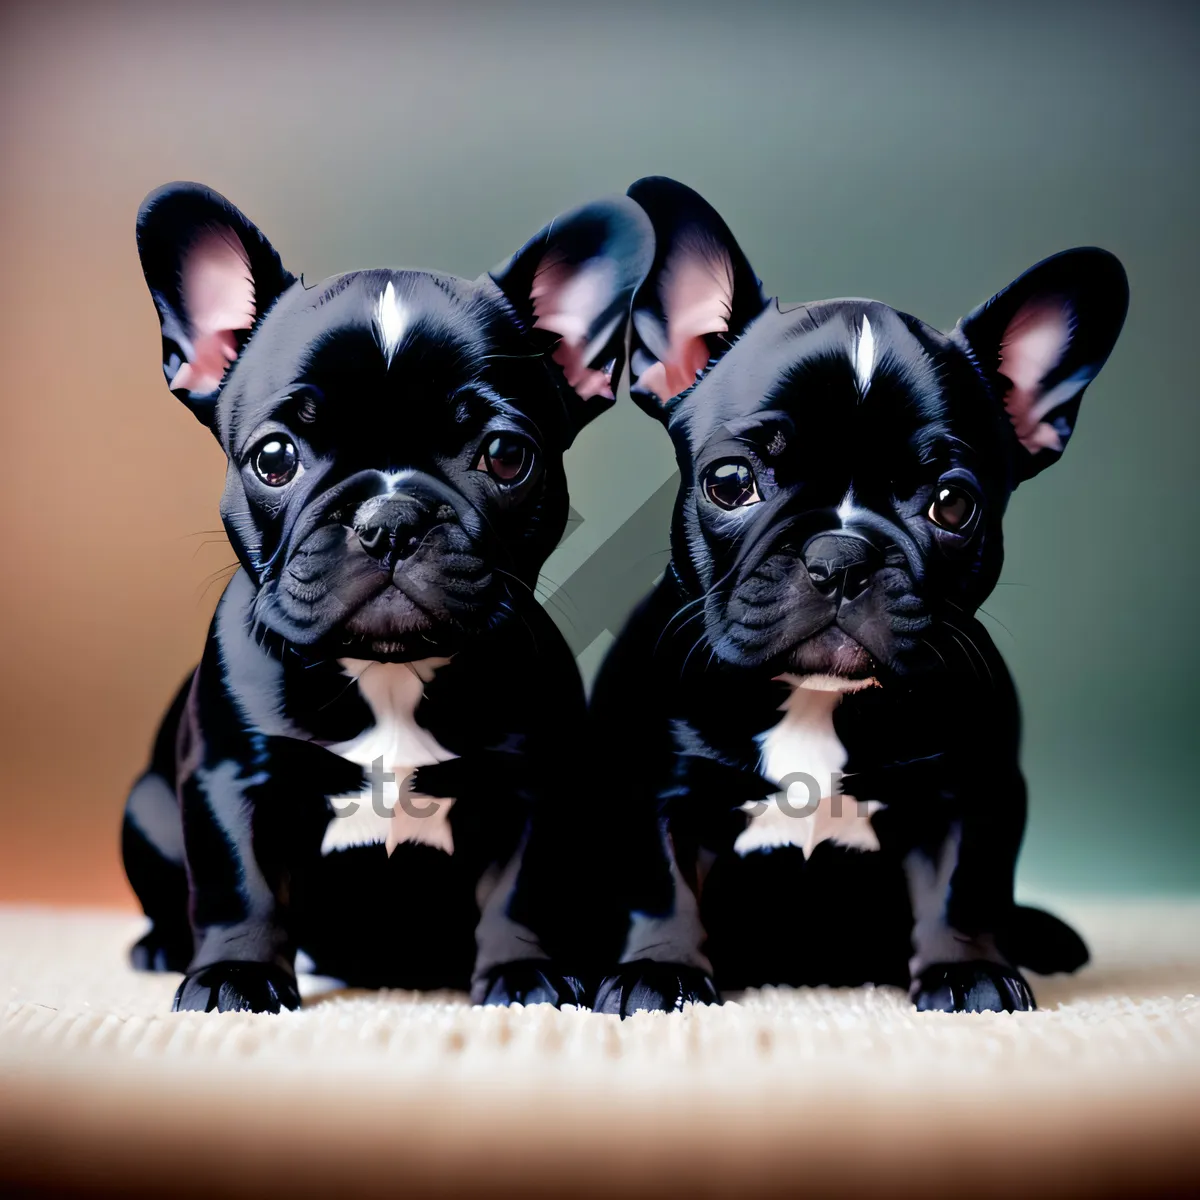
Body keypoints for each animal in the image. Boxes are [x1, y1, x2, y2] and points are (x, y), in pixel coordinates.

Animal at [119, 182, 657, 1008]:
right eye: (274, 458)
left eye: (507, 456)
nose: (390, 519)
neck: (390, 671)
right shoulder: (229, 777)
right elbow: (240, 884)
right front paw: (235, 974)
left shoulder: (532, 786)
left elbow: (520, 890)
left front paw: (523, 972)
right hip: (144, 811)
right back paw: (159, 948)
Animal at [585, 175, 1128, 1012]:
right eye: (731, 482)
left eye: (952, 504)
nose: (841, 556)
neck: (816, 700)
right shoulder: (652, 784)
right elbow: (661, 882)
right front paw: (659, 970)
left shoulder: (971, 789)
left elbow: (962, 887)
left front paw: (965, 971)